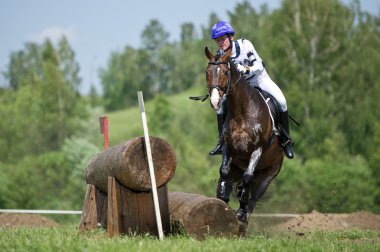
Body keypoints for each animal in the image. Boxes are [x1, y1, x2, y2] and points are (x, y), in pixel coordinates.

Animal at [205, 46, 284, 233]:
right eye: (207, 72)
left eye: (225, 71)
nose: (215, 100)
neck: (242, 110)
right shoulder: (228, 147)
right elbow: (224, 172)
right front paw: (224, 200)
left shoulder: (257, 149)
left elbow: (248, 178)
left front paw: (240, 210)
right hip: (237, 169)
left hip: (269, 174)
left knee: (253, 198)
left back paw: (243, 217)